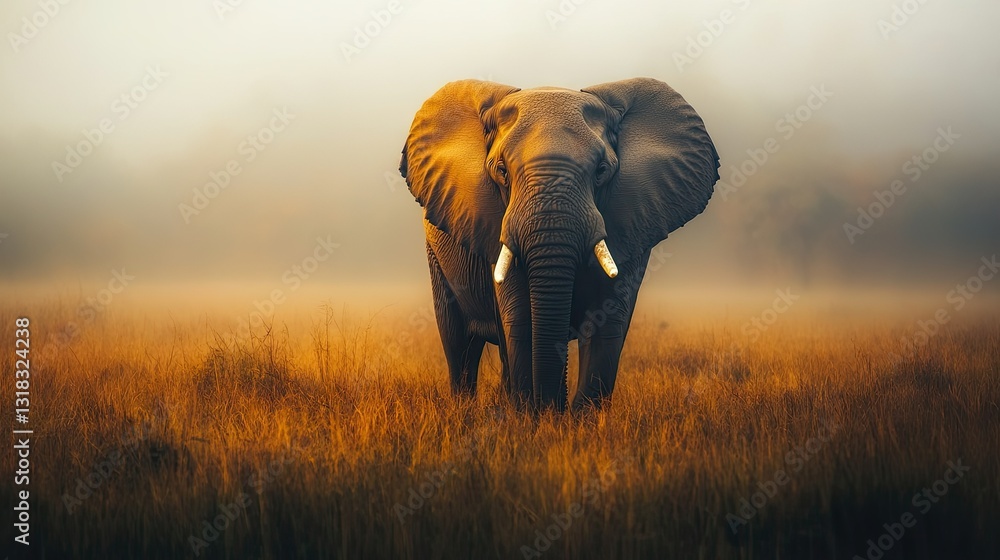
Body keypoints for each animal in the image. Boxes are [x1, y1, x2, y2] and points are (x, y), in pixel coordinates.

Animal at [399, 78, 719, 411]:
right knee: (459, 341)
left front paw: (579, 417)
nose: (556, 407)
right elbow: (519, 318)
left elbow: (609, 323)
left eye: (602, 171)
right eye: (501, 171)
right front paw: (532, 414)